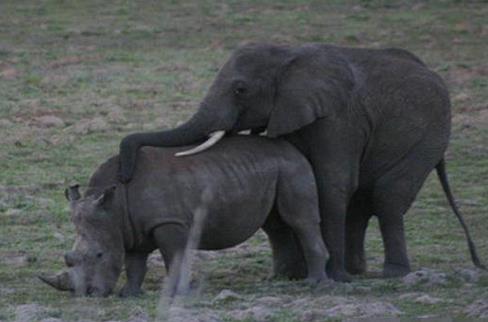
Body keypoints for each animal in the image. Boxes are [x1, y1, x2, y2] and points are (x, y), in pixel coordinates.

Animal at [39, 136, 328, 296]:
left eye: (99, 255)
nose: (87, 294)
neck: (116, 205)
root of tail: (291, 148)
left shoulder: (168, 222)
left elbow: (173, 256)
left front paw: (175, 292)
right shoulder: (129, 229)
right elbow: (134, 263)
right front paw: (128, 295)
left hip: (291, 167)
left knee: (299, 221)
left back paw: (314, 284)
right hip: (273, 169)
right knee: (275, 226)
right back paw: (277, 279)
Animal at [118, 43, 484, 282]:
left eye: (240, 90)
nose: (124, 171)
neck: (289, 55)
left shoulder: (338, 117)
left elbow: (332, 181)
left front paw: (330, 278)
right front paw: (290, 277)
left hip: (429, 135)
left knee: (388, 197)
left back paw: (389, 274)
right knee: (362, 203)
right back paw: (357, 272)